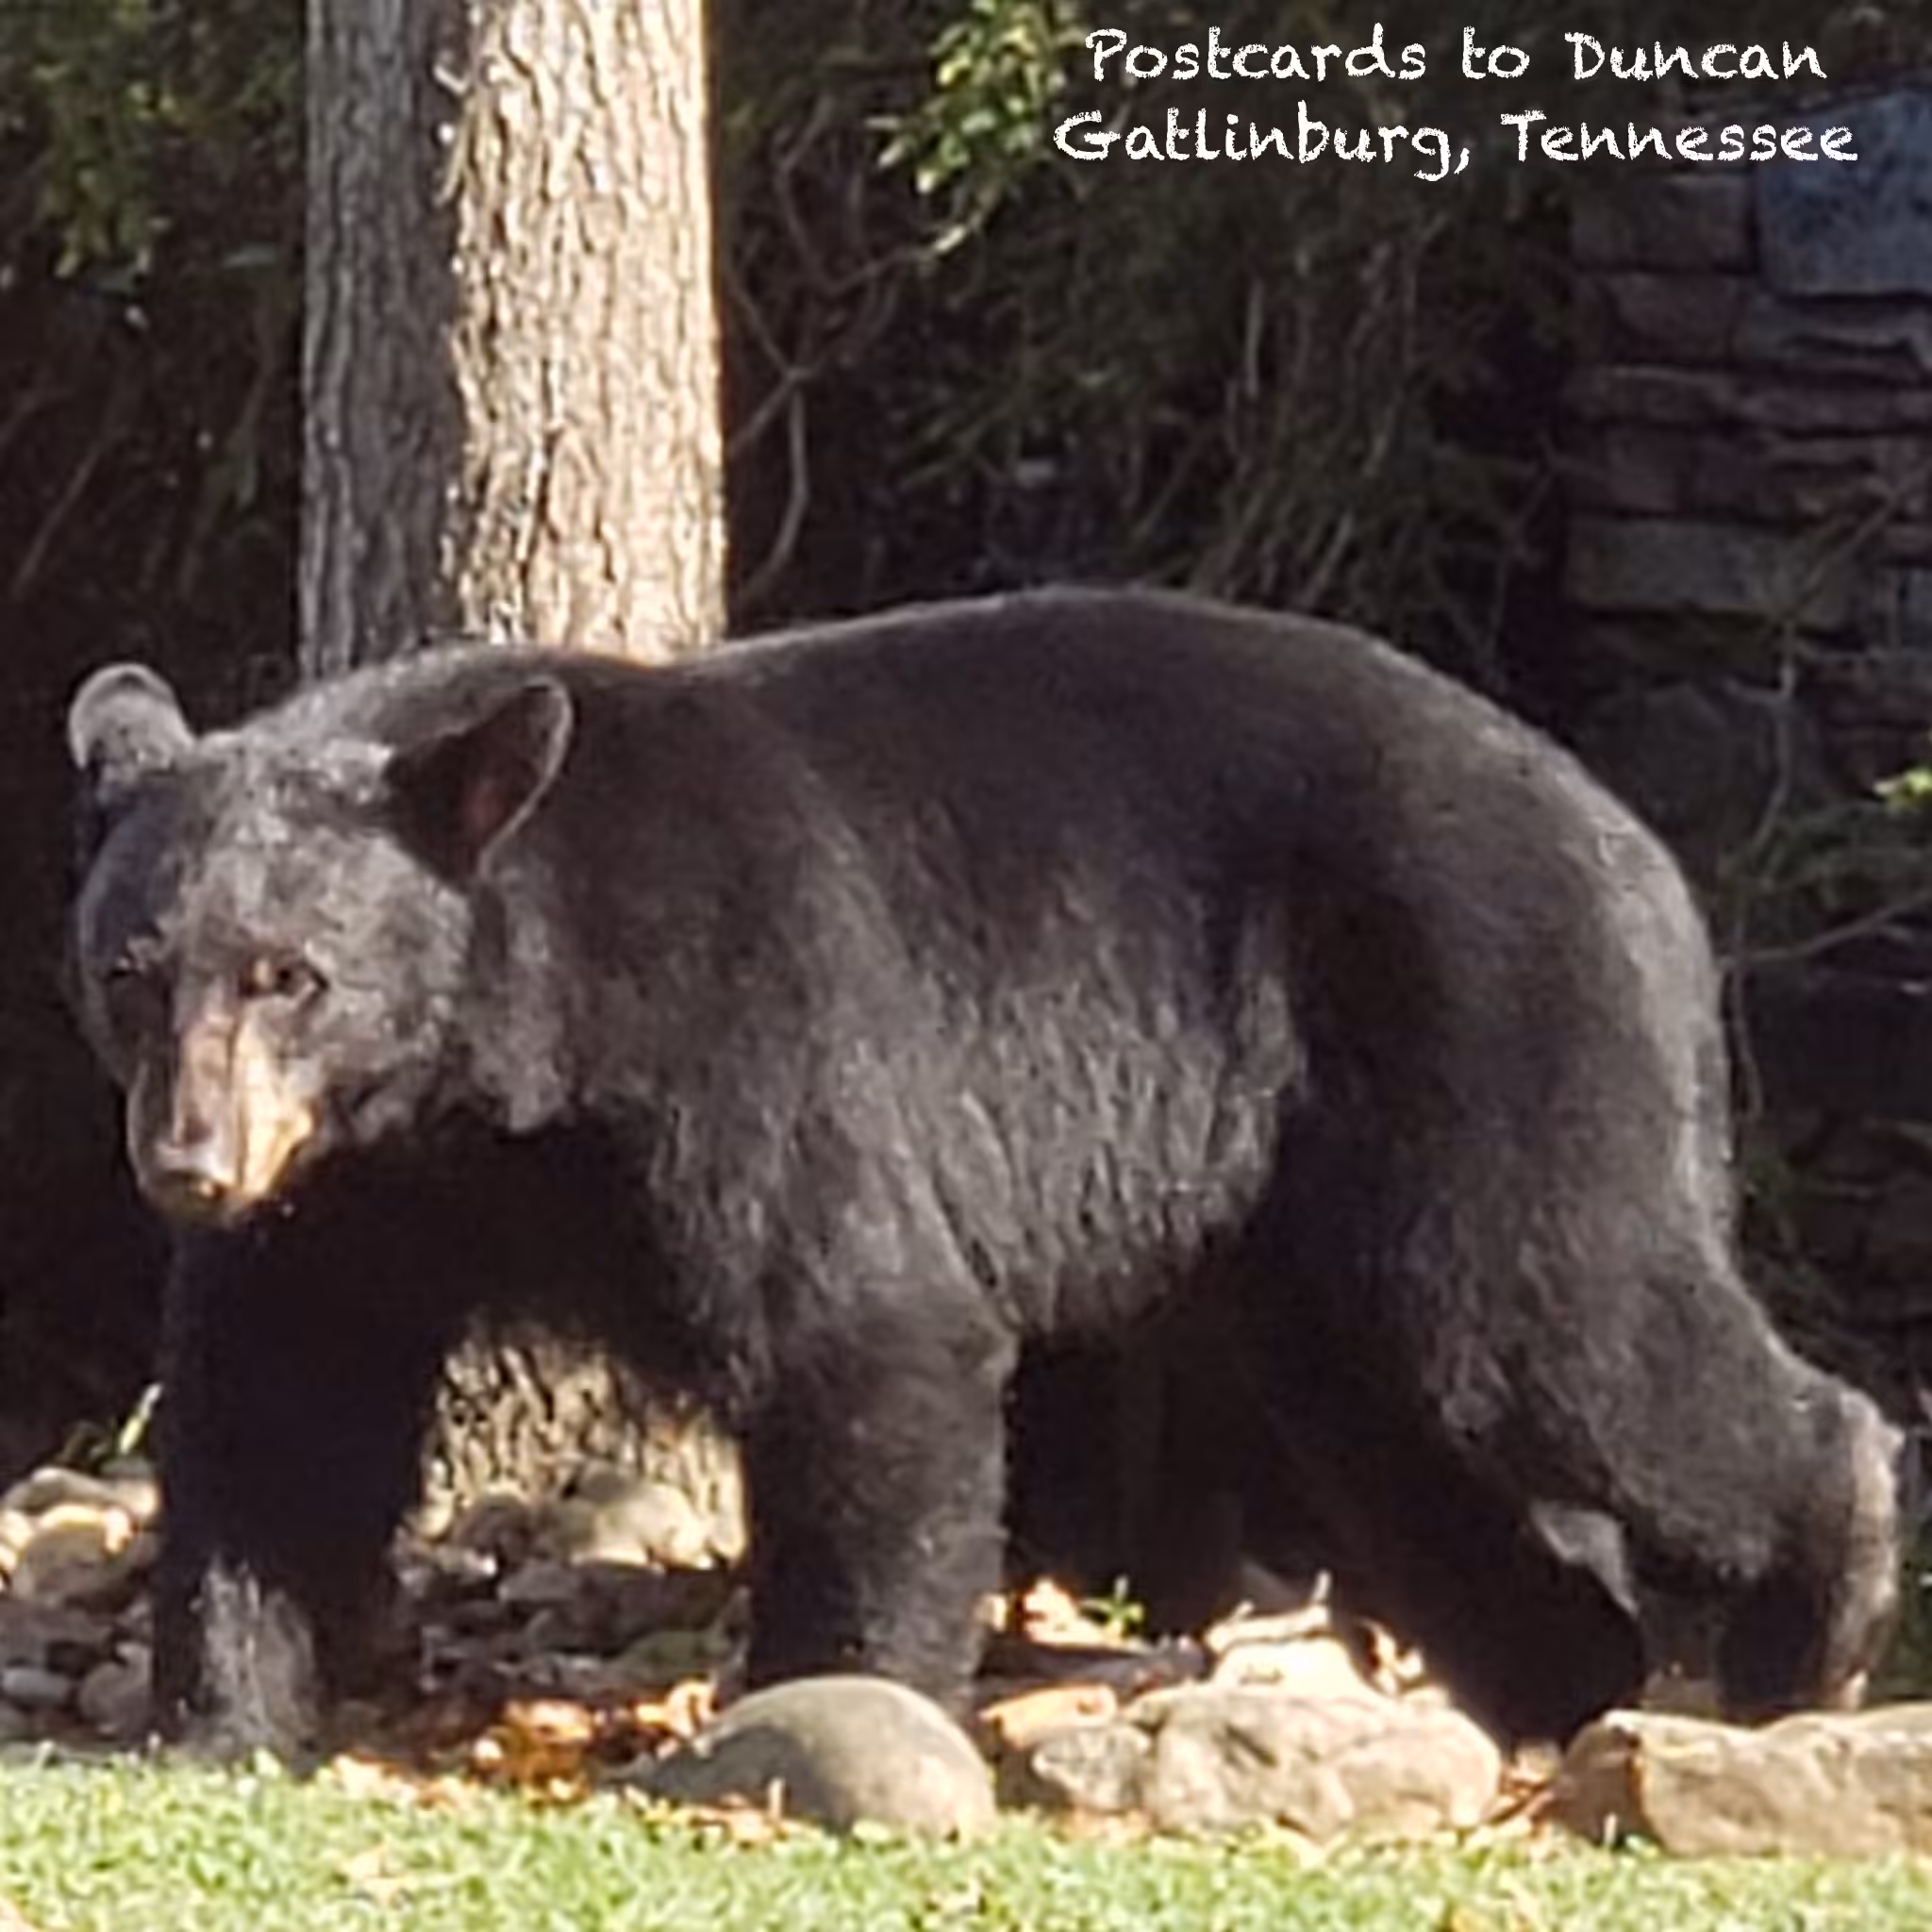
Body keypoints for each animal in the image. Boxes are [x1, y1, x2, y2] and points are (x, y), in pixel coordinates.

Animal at [64, 585, 1900, 1752]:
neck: (493, 1050)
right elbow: (280, 1409)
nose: (186, 1162)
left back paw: (1811, 1611)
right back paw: (1557, 1686)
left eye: (289, 972)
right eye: (132, 970)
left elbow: (865, 1329)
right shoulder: (359, 1194)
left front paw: (830, 1694)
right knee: (1400, 1421)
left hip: (1478, 1011)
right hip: (1315, 1201)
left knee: (1557, 1316)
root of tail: (1641, 855)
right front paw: (218, 1714)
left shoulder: (738, 1022)